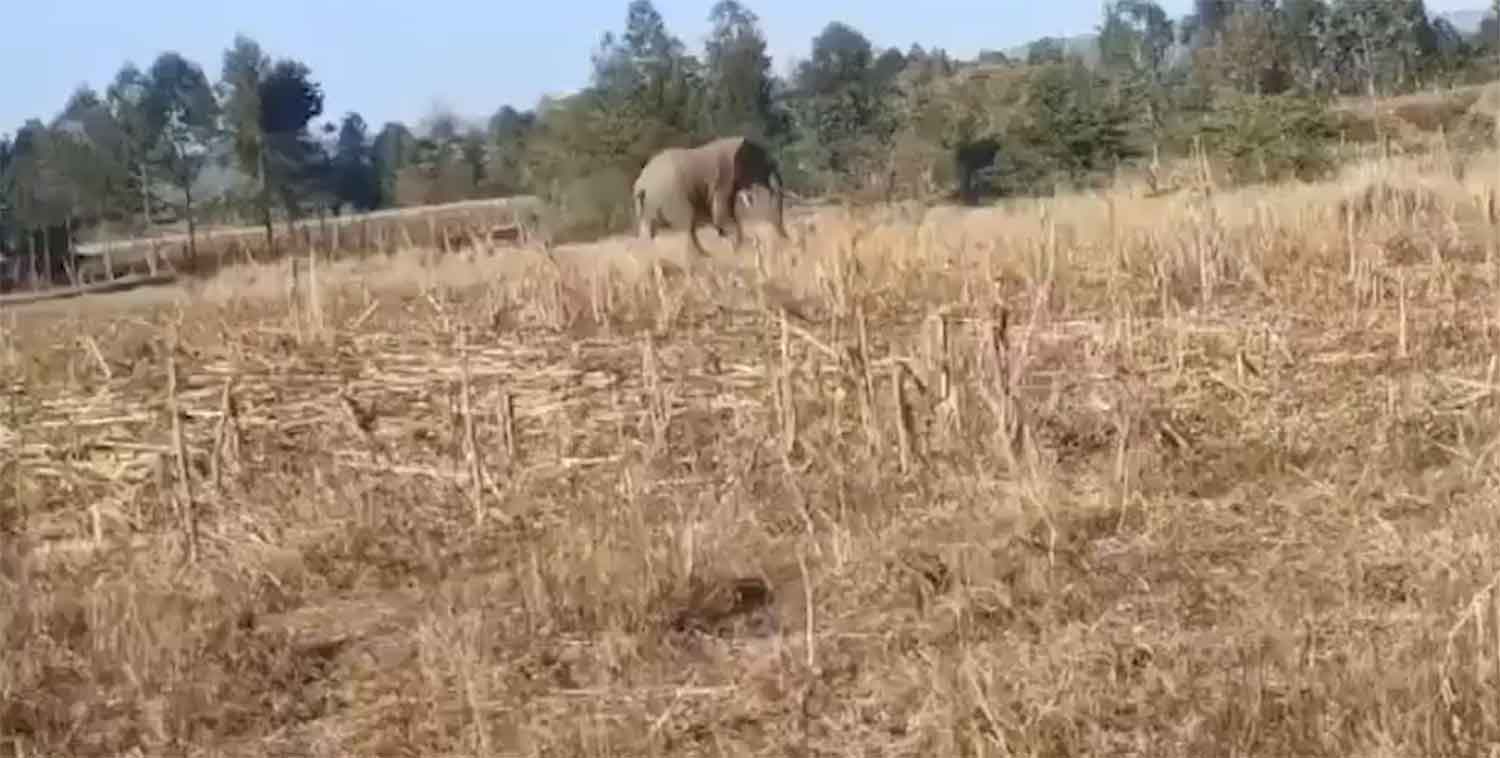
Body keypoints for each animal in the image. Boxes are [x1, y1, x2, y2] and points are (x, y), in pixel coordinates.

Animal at [632, 135, 790, 257]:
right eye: (765, 164)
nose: (787, 240)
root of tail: (642, 184)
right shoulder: (724, 179)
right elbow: (722, 214)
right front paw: (740, 248)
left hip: (648, 204)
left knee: (649, 230)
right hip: (672, 197)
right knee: (686, 226)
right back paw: (701, 257)